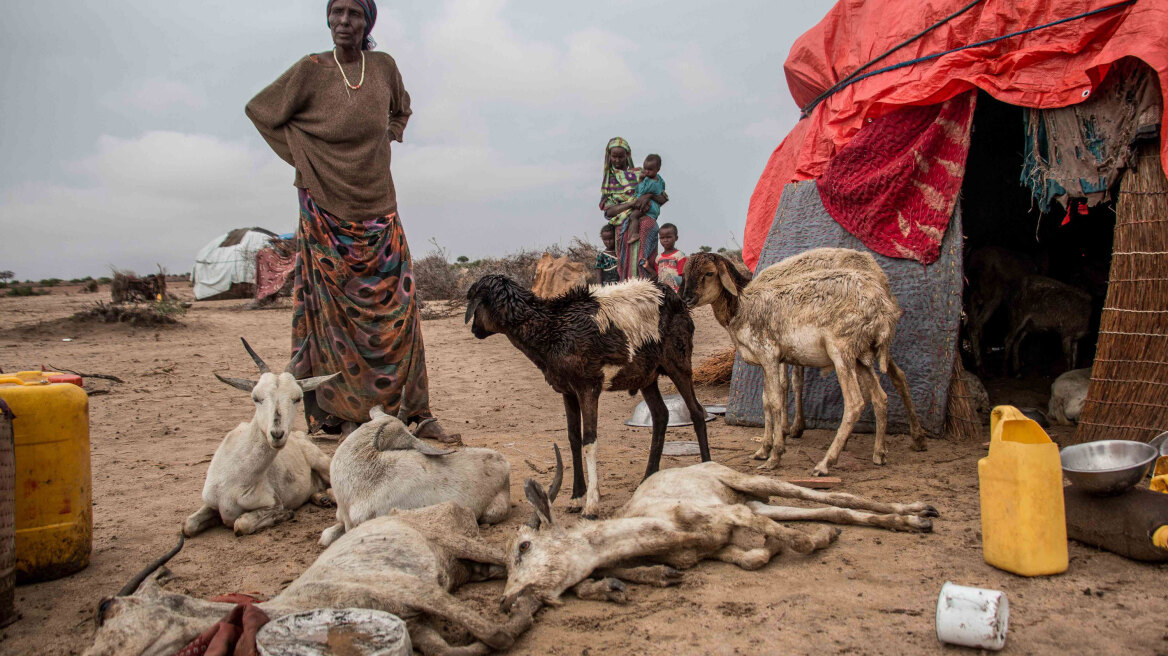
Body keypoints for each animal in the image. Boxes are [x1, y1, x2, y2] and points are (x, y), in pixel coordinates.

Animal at [91, 501, 537, 648]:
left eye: (106, 608)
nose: (94, 654)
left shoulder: (416, 590)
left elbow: (497, 634)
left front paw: (527, 608)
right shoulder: (417, 625)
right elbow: (455, 648)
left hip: (454, 539)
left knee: (507, 552)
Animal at [182, 336, 338, 536]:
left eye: (297, 398)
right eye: (256, 398)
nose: (277, 434)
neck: (235, 481)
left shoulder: (273, 503)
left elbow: (241, 524)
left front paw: (286, 514)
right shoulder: (211, 504)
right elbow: (188, 525)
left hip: (323, 462)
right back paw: (322, 499)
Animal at [467, 273, 710, 518]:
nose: (474, 330)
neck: (551, 327)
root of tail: (675, 297)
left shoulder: (588, 386)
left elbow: (589, 440)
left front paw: (591, 505)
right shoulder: (567, 390)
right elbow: (573, 439)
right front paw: (576, 498)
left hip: (678, 361)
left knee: (697, 411)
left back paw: (708, 468)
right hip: (646, 376)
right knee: (661, 415)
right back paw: (647, 478)